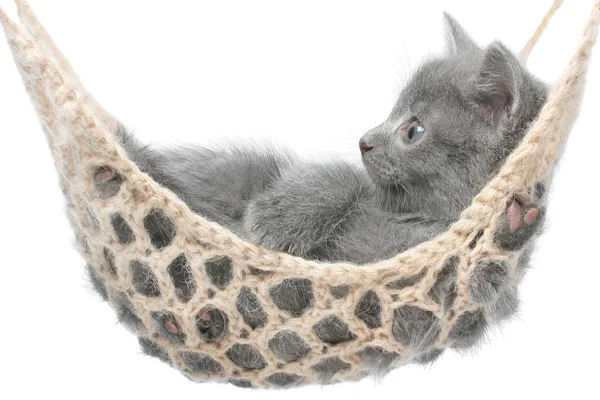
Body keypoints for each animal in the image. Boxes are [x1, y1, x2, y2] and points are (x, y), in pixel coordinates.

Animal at [108, 14, 548, 266]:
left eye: (414, 131)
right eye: (391, 111)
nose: (364, 141)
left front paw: (513, 226)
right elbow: (346, 178)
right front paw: (276, 218)